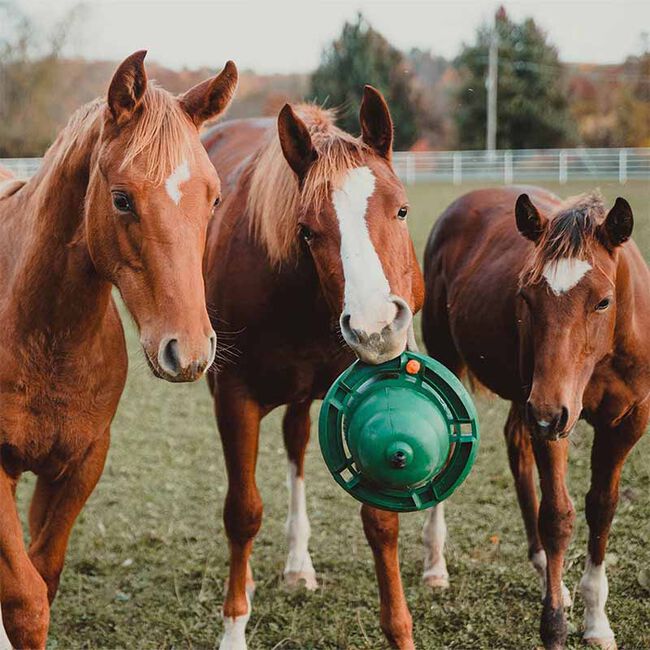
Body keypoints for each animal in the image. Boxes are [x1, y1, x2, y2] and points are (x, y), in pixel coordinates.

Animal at [0, 51, 238, 648]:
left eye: (214, 198)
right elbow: (25, 600)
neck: (44, 340)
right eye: (122, 199)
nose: (190, 350)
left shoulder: (80, 464)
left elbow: (44, 576)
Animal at [202, 87, 425, 649]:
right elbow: (243, 513)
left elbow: (380, 519)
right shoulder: (234, 398)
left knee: (298, 447)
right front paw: (233, 627)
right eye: (306, 230)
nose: (375, 328)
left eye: (402, 210)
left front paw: (400, 629)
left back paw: (298, 563)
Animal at [421, 186, 649, 649]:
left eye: (603, 301)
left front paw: (596, 620)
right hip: (457, 365)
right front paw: (555, 626)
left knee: (516, 448)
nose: (547, 412)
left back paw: (548, 573)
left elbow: (602, 507)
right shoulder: (551, 421)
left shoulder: (626, 423)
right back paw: (435, 565)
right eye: (526, 297)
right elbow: (557, 516)